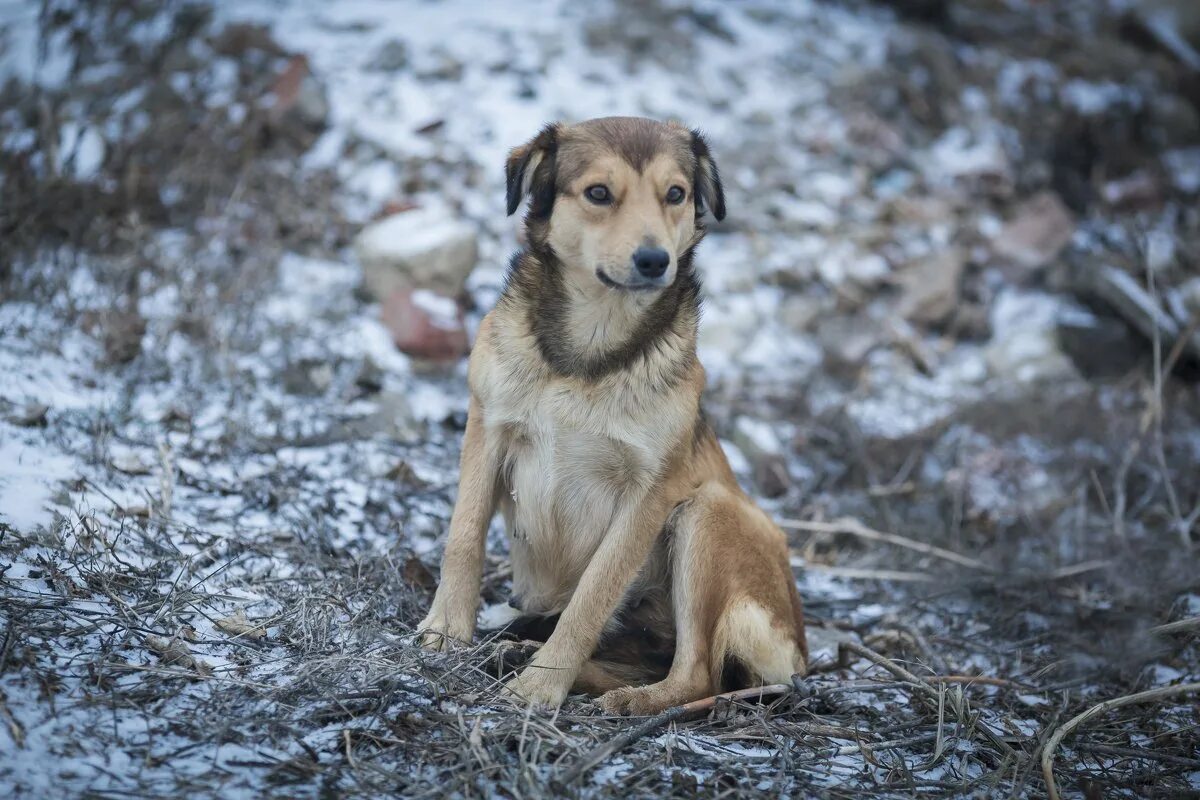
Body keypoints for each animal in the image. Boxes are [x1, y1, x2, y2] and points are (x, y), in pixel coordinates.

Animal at [417, 117, 811, 714]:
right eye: (599, 193)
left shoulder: (649, 494)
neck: (590, 354)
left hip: (707, 514)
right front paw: (446, 629)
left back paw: (626, 700)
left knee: (698, 676)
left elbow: (593, 594)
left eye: (676, 194)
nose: (654, 260)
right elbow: (462, 538)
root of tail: (802, 652)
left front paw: (542, 685)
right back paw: (523, 654)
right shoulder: (487, 428)